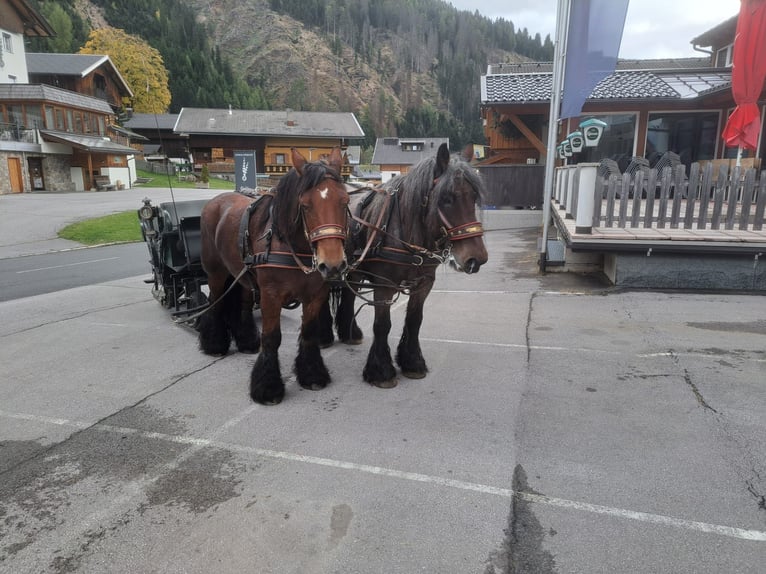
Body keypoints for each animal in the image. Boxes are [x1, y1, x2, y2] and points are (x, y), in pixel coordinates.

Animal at [200, 151, 352, 408]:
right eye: (305, 205)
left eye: (345, 201)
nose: (332, 265)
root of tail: (215, 201)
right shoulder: (271, 295)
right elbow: (271, 338)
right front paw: (268, 387)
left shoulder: (316, 294)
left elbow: (309, 332)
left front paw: (312, 374)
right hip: (216, 273)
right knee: (215, 302)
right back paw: (214, 344)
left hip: (244, 274)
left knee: (243, 303)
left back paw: (247, 342)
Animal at [320, 142, 488, 390]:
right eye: (447, 198)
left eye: (474, 196)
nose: (477, 258)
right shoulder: (384, 285)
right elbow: (382, 324)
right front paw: (381, 370)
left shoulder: (424, 284)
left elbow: (414, 320)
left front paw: (412, 362)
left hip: (354, 272)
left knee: (349, 296)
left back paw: (350, 333)